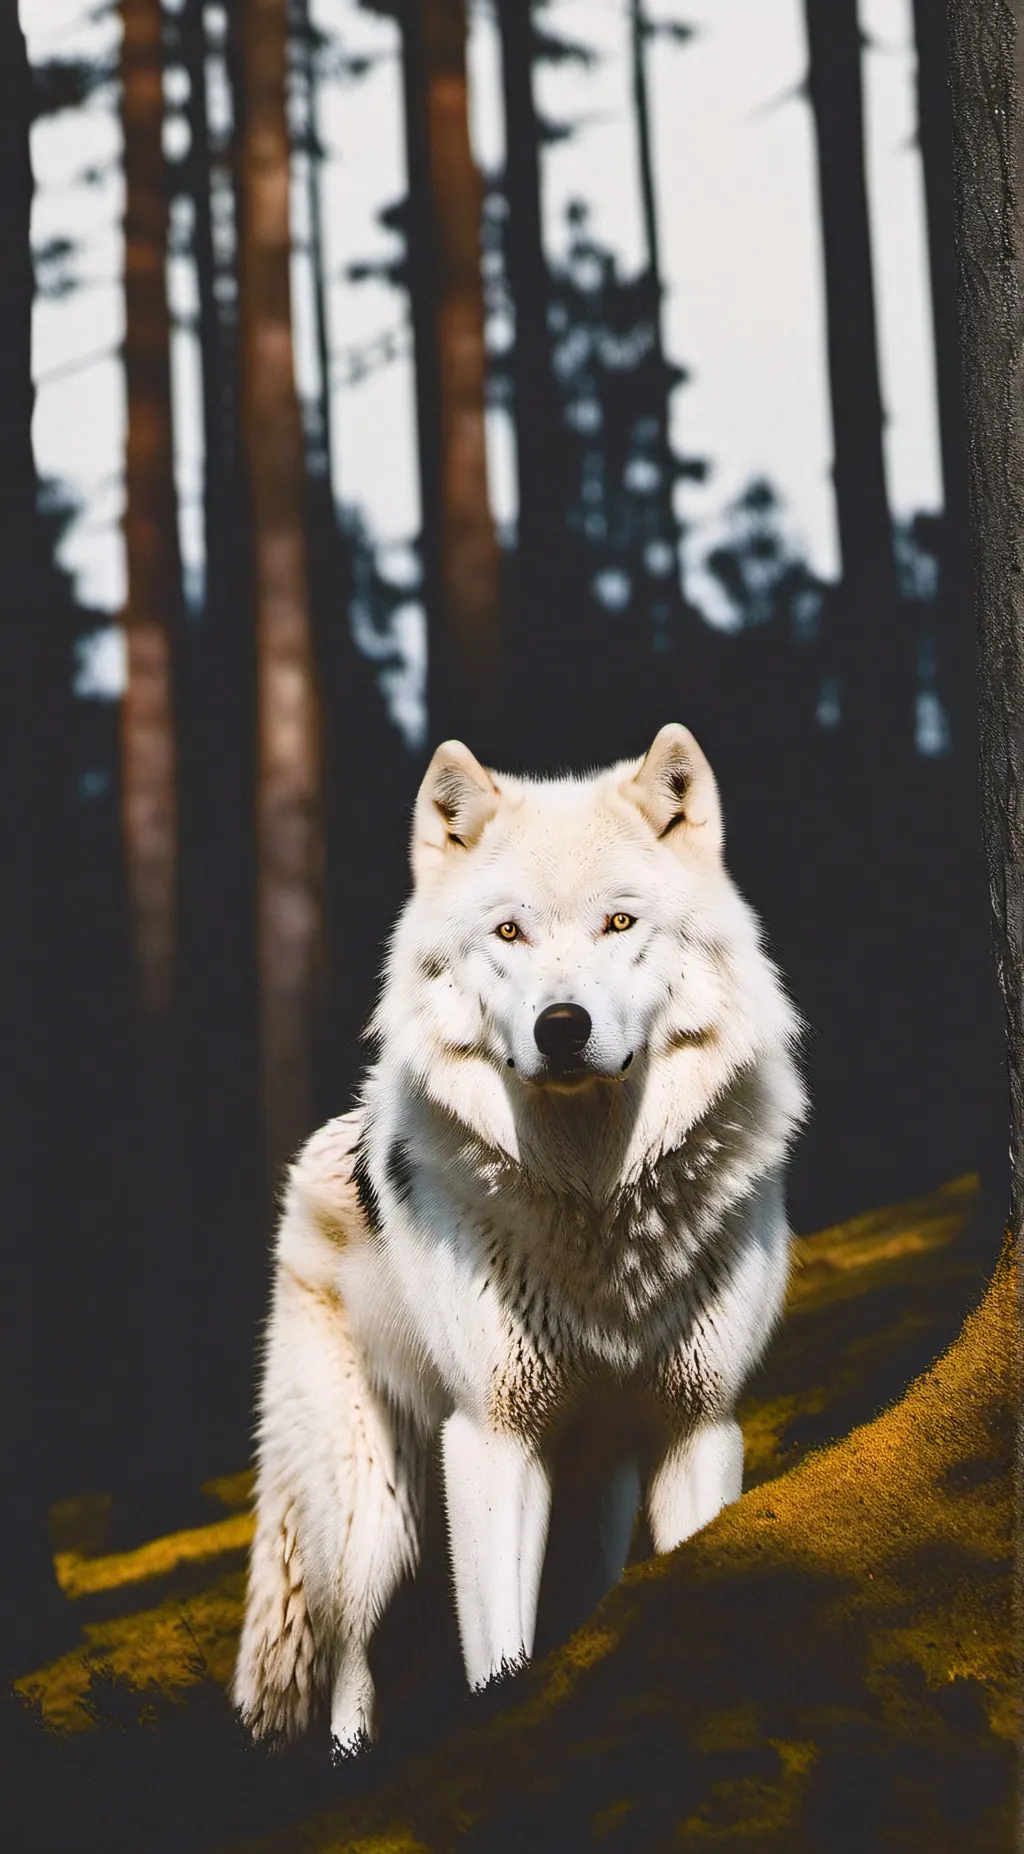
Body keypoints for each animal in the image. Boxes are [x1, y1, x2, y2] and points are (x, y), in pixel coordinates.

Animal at [233, 724, 806, 1751]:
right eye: (509, 934)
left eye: (619, 924)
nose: (562, 1026)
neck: (597, 1202)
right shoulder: (492, 1442)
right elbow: (497, 1653)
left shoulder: (699, 1427)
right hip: (374, 1519)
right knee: (351, 1666)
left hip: (592, 1506)